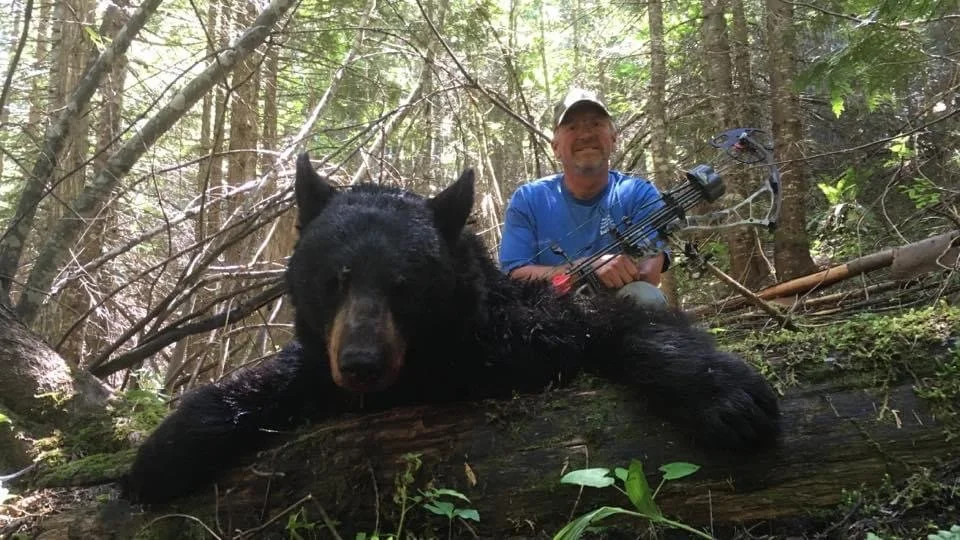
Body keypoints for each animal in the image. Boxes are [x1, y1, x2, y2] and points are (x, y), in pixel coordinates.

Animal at [121, 153, 781, 504]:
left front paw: (731, 399)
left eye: (405, 282)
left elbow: (616, 323)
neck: (424, 365)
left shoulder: (518, 332)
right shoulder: (322, 360)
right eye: (336, 278)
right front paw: (160, 456)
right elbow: (267, 378)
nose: (361, 363)